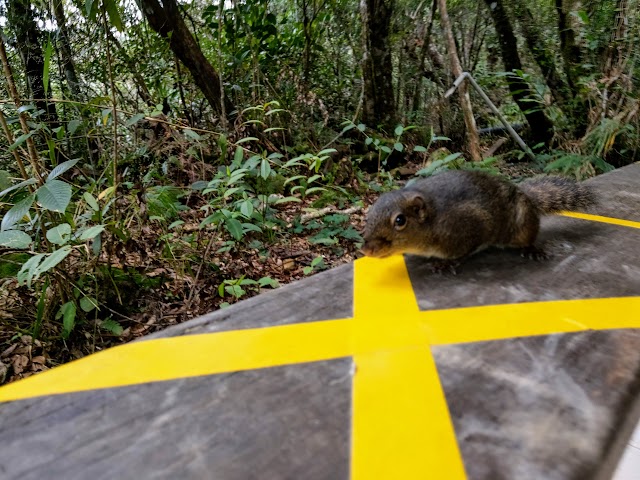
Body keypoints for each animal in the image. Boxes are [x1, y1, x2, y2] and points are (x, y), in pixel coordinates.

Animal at [362, 170, 596, 266]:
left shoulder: (471, 225)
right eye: (370, 213)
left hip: (522, 225)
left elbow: (465, 250)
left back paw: (531, 249)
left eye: (400, 221)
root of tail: (527, 197)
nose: (365, 249)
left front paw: (446, 263)